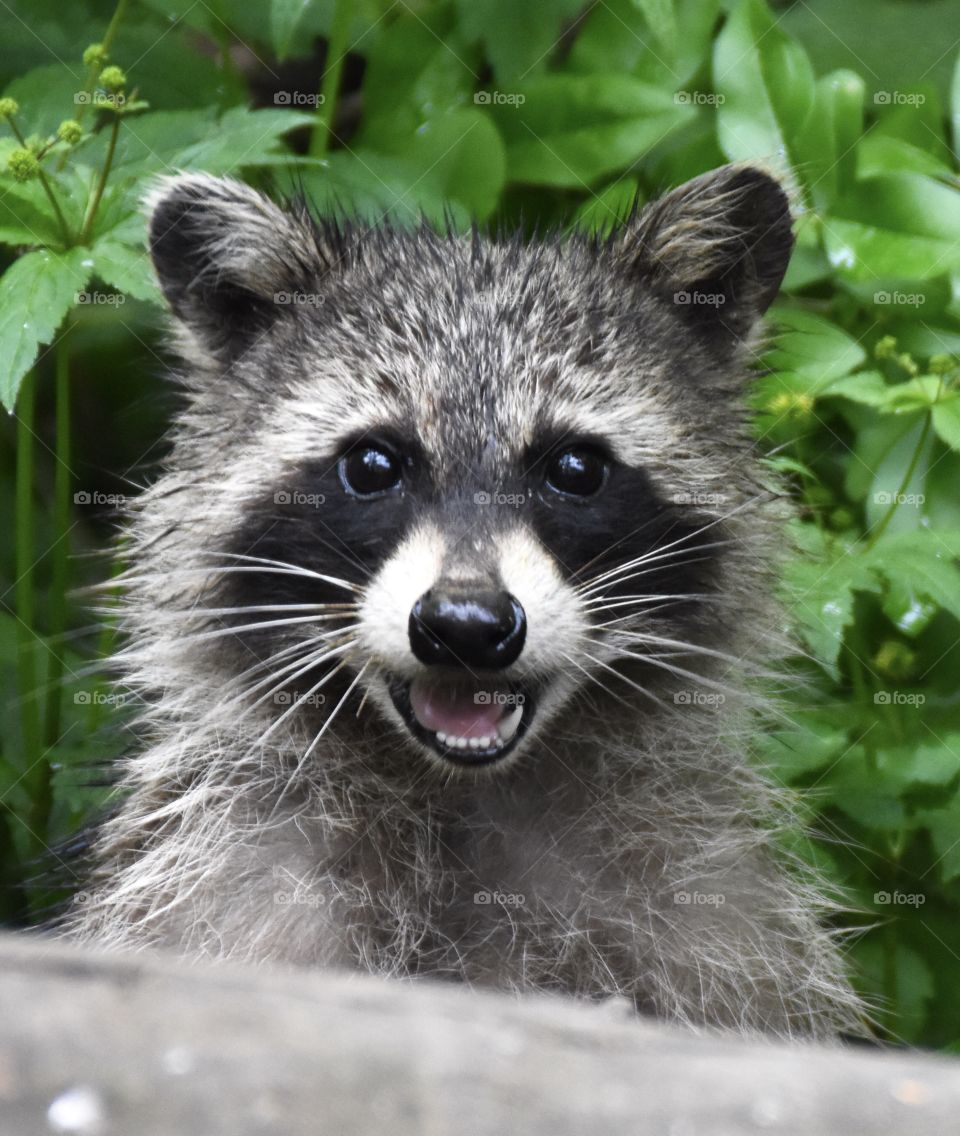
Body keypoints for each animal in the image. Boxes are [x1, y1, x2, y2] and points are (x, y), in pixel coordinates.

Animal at [67, 164, 863, 1040]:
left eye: (575, 468)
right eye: (373, 464)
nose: (467, 628)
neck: (466, 793)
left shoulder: (715, 925)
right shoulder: (229, 888)